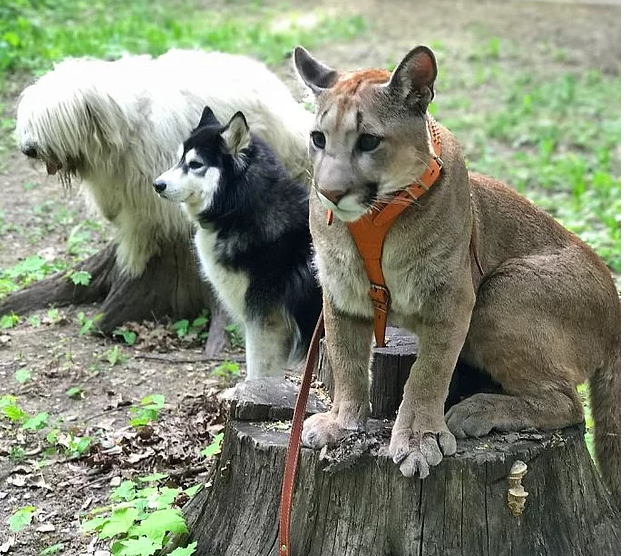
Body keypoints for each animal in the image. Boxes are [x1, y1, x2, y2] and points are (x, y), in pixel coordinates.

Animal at [15, 51, 312, 276]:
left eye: (50, 120)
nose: (27, 149)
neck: (120, 124)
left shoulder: (146, 185)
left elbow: (139, 221)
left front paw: (132, 258)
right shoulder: (114, 180)